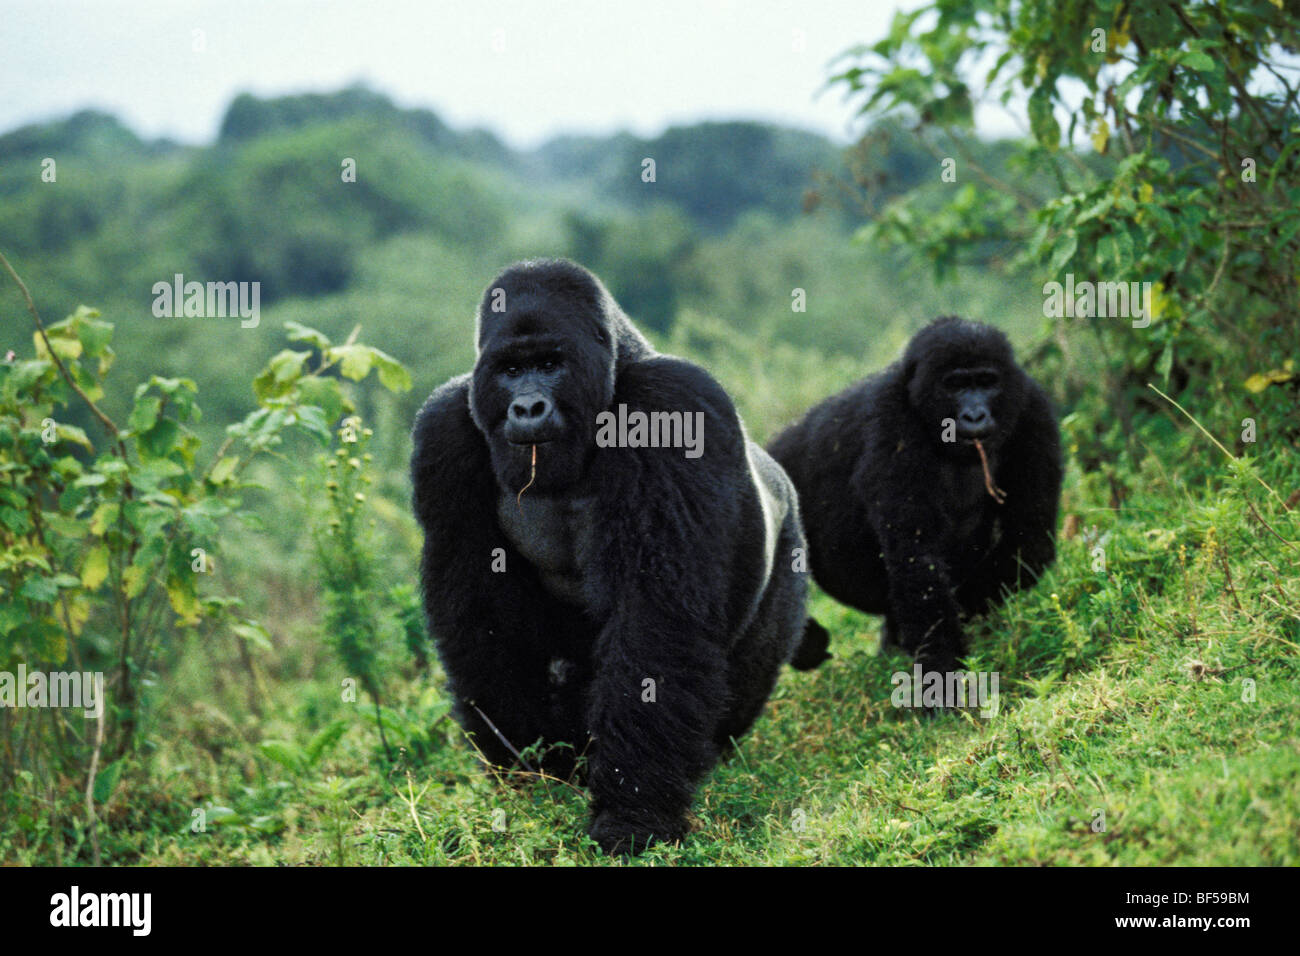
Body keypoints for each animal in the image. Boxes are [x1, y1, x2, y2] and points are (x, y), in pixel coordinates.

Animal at [410, 257, 811, 858]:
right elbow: (478, 621)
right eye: (511, 370)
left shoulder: (671, 404)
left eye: (550, 364)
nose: (527, 406)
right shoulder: (443, 431)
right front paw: (529, 768)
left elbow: (654, 621)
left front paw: (632, 815)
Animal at [764, 321, 1060, 681]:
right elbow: (917, 561)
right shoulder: (893, 420)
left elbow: (1028, 541)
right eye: (955, 385)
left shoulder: (1033, 409)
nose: (975, 415)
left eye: (987, 382)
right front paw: (942, 672)